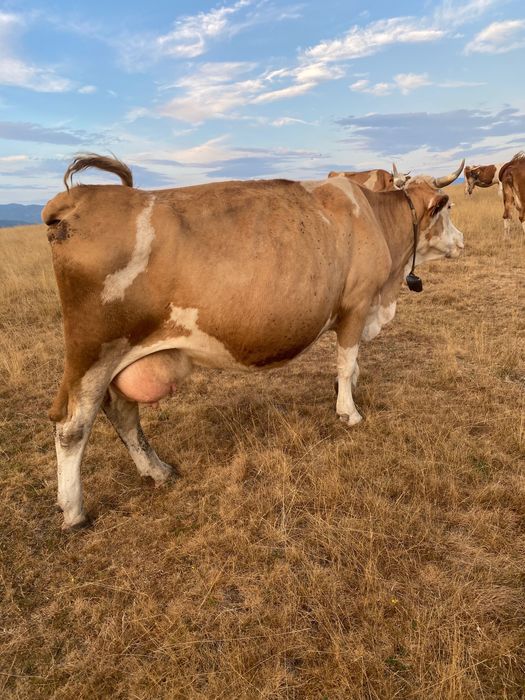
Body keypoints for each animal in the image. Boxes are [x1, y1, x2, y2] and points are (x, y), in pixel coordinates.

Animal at [42, 154, 464, 529]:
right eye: (447, 206)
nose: (462, 240)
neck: (374, 217)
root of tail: (81, 198)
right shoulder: (356, 306)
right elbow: (347, 363)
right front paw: (349, 411)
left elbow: (352, 366)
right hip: (92, 350)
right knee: (72, 425)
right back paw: (75, 511)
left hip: (121, 355)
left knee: (123, 412)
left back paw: (157, 470)